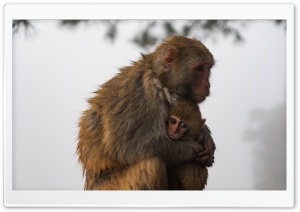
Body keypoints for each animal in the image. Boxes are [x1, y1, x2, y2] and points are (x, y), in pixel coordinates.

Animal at [76, 35, 214, 190]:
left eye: (208, 68)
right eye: (200, 68)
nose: (207, 85)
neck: (161, 79)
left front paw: (206, 138)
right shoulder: (143, 93)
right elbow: (129, 147)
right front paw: (195, 147)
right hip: (111, 186)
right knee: (152, 164)